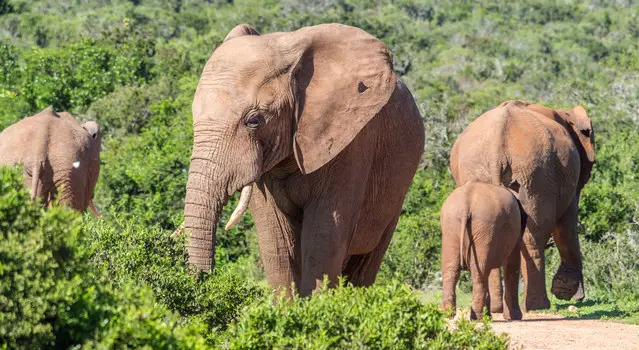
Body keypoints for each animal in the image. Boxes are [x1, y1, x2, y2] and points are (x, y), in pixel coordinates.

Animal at [442, 182, 528, 322]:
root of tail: (466, 203)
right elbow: (512, 265)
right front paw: (515, 317)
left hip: (453, 225)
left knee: (452, 270)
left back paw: (447, 314)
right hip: (483, 225)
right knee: (480, 273)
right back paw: (478, 318)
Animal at [450, 100, 596, 310]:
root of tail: (496, 149)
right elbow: (567, 224)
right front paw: (566, 293)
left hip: (491, 172)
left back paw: (495, 308)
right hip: (537, 174)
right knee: (533, 236)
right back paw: (538, 306)